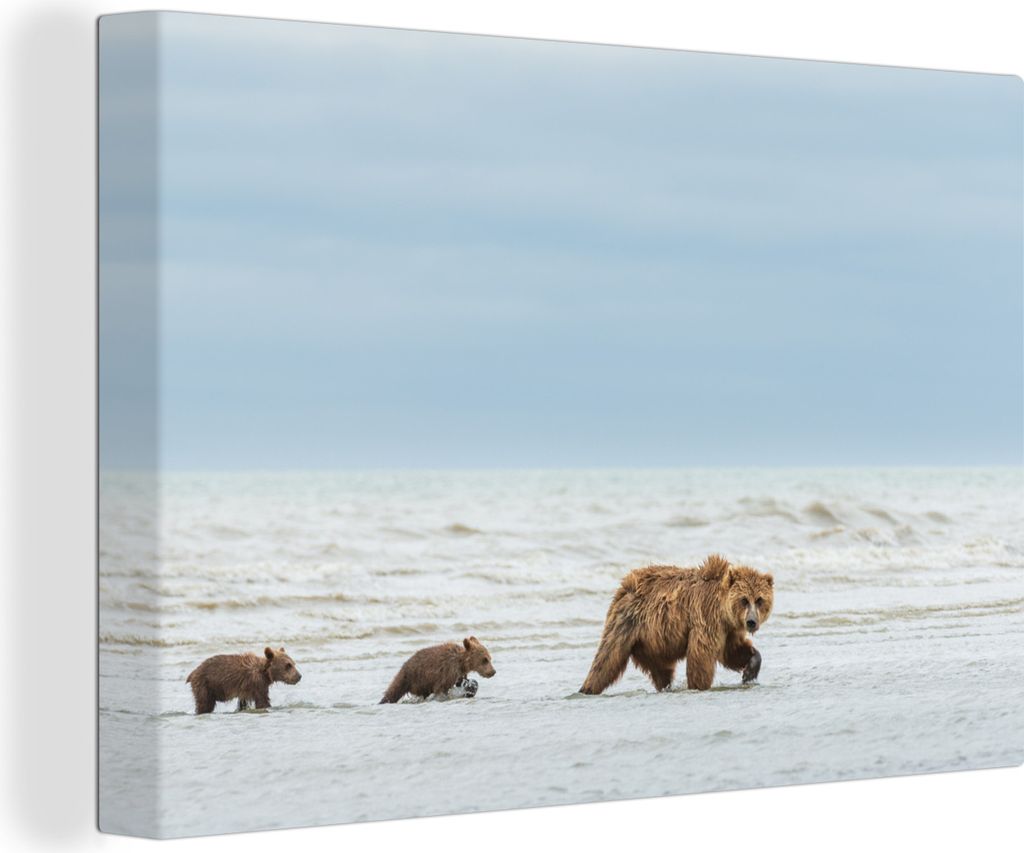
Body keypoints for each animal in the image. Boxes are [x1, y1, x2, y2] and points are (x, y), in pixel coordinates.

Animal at [580, 554, 773, 694]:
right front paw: (699, 685)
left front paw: (749, 672)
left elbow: (732, 651)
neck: (722, 610)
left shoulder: (729, 629)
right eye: (744, 600)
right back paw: (587, 689)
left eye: (759, 600)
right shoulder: (706, 618)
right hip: (627, 625)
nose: (751, 622)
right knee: (605, 660)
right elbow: (701, 657)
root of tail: (624, 585)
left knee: (661, 671)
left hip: (651, 644)